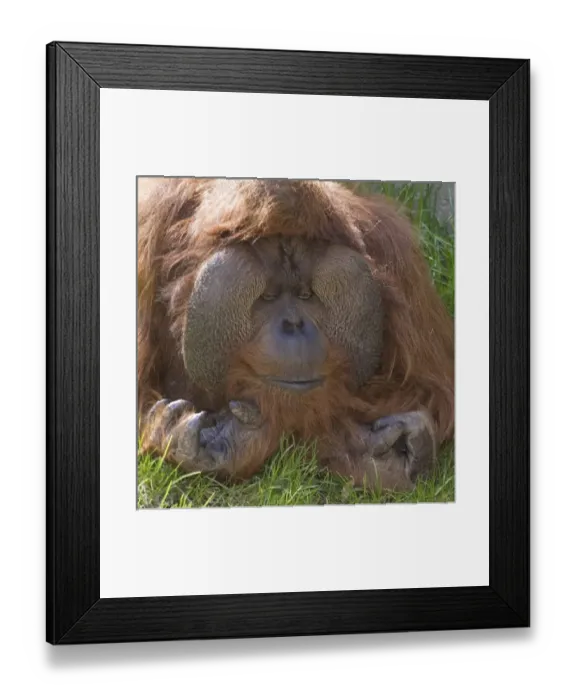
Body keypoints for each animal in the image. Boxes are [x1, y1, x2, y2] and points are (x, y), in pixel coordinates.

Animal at [137, 177, 454, 492]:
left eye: (306, 295)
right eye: (268, 297)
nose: (293, 325)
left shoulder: (396, 255)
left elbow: (434, 392)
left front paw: (392, 452)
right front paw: (207, 443)